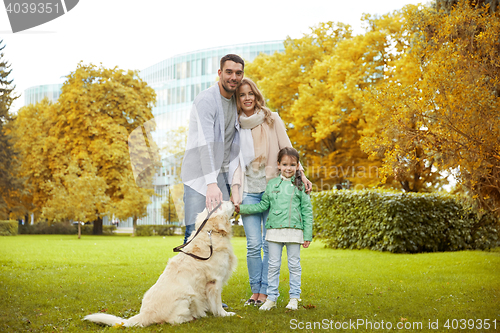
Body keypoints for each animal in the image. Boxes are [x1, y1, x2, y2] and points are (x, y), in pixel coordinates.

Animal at [83, 201, 237, 326]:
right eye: (219, 204)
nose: (231, 200)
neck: (211, 233)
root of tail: (145, 314)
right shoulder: (215, 281)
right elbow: (217, 302)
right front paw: (224, 314)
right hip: (187, 296)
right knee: (174, 320)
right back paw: (190, 318)